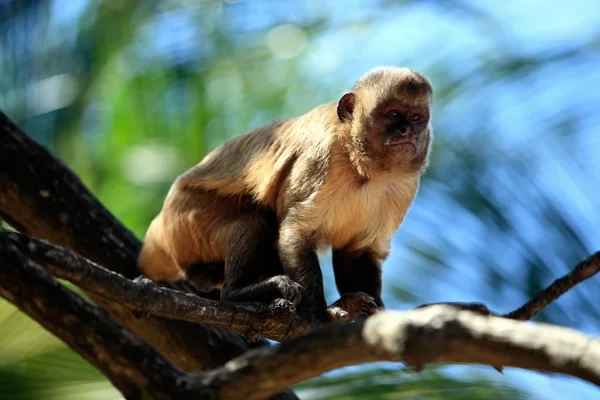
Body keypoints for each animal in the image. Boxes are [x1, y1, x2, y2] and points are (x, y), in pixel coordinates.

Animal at [138, 65, 434, 322]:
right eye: (393, 114)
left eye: (416, 118)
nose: (408, 130)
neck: (361, 166)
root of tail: (161, 221)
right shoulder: (323, 156)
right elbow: (295, 233)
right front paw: (318, 316)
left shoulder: (405, 186)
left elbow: (358, 249)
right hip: (187, 221)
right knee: (257, 217)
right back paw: (236, 293)